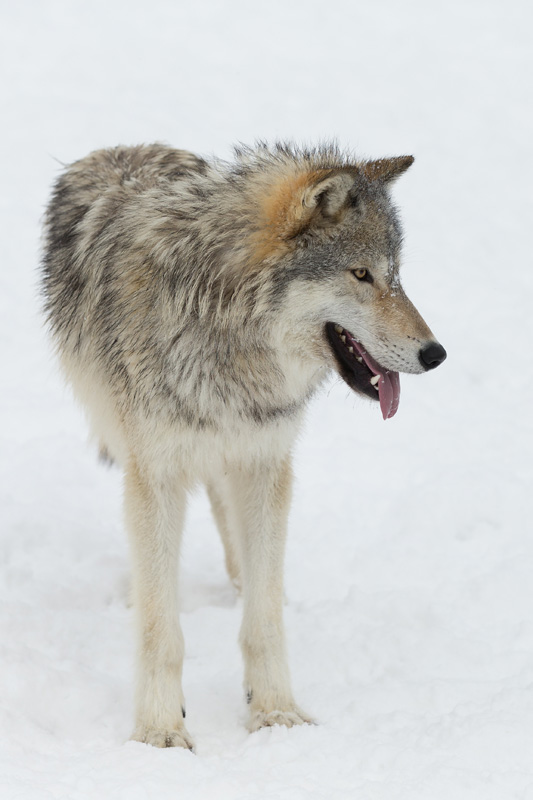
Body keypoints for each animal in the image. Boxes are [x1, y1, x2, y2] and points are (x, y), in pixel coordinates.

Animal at [41, 142, 444, 752]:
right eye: (361, 274)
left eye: (396, 276)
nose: (436, 353)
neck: (225, 326)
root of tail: (120, 149)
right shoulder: (156, 471)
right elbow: (161, 629)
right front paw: (160, 731)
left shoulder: (264, 460)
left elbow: (265, 616)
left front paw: (276, 713)